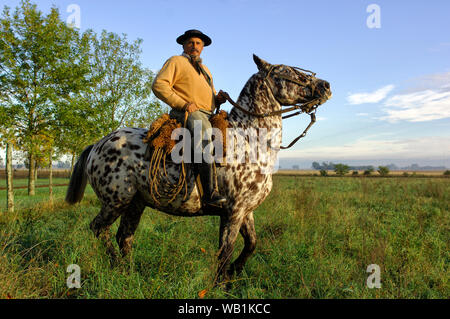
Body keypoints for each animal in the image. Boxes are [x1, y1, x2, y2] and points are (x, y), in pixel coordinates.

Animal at [67, 55, 334, 288]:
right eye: (288, 71)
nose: (326, 86)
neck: (249, 141)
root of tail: (97, 145)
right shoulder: (233, 211)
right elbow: (225, 251)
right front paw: (220, 285)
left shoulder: (246, 211)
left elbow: (251, 244)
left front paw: (233, 274)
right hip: (116, 202)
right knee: (99, 229)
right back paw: (118, 266)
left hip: (136, 203)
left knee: (124, 237)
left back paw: (129, 273)